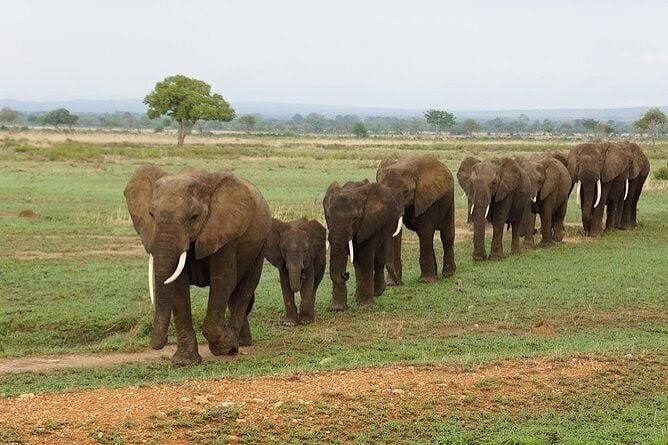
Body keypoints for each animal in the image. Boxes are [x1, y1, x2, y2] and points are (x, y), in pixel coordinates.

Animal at [124, 166, 271, 365]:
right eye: (151, 215)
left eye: (193, 217)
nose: (159, 343)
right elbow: (178, 285)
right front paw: (184, 362)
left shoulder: (224, 233)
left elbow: (222, 281)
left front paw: (222, 347)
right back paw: (241, 343)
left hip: (260, 246)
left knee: (244, 290)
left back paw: (233, 346)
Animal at [323, 179, 403, 310]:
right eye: (328, 216)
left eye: (355, 218)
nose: (345, 274)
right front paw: (338, 309)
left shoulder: (369, 223)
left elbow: (366, 259)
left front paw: (365, 306)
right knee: (357, 264)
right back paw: (358, 297)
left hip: (387, 226)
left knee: (379, 260)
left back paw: (377, 292)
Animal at [376, 155, 456, 284]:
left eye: (406, 192)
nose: (399, 282)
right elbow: (396, 235)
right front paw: (392, 284)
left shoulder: (426, 197)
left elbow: (425, 231)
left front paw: (426, 281)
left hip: (450, 200)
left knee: (446, 236)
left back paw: (448, 274)